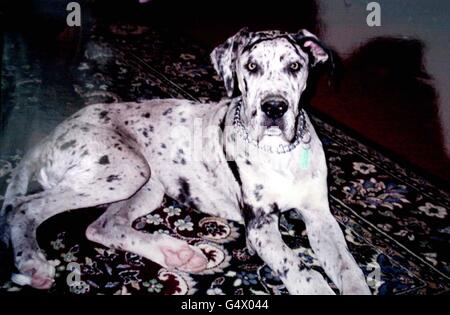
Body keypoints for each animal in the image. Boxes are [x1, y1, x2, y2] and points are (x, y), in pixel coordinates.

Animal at [0, 28, 370, 296]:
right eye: (251, 67)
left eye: (295, 66)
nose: (274, 108)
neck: (281, 154)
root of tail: (51, 133)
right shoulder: (260, 228)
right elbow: (300, 268)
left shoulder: (320, 217)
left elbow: (348, 266)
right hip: (124, 171)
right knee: (25, 207)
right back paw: (32, 262)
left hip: (146, 185)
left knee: (103, 226)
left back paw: (177, 253)